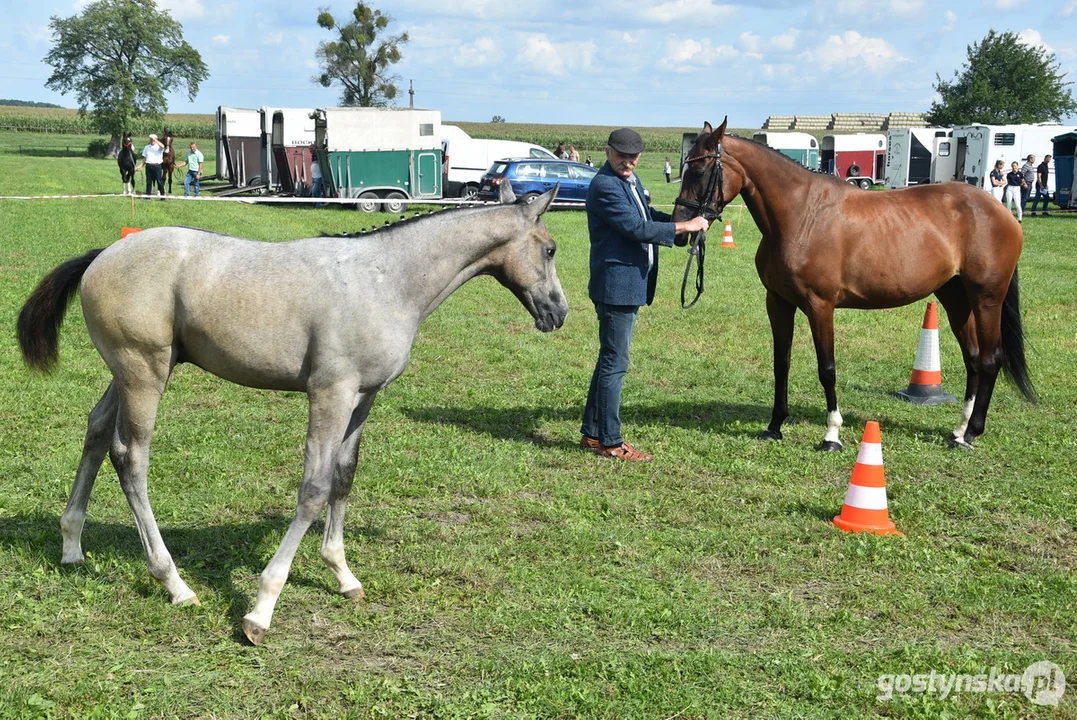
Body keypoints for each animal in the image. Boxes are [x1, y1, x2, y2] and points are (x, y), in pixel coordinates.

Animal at [16, 182, 568, 641]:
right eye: (550, 249)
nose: (559, 313)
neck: (386, 279)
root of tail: (104, 255)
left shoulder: (364, 397)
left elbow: (343, 477)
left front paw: (343, 575)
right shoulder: (331, 394)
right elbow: (313, 489)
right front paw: (261, 609)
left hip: (134, 373)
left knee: (95, 431)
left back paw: (72, 546)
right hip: (144, 374)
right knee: (130, 458)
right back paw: (174, 582)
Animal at [672, 120, 1033, 452]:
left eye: (700, 169)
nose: (679, 230)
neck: (801, 215)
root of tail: (999, 211)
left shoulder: (820, 306)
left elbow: (827, 368)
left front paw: (831, 434)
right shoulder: (777, 302)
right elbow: (781, 362)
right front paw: (774, 426)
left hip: (987, 298)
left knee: (990, 359)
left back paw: (972, 432)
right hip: (955, 296)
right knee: (972, 358)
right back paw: (959, 430)